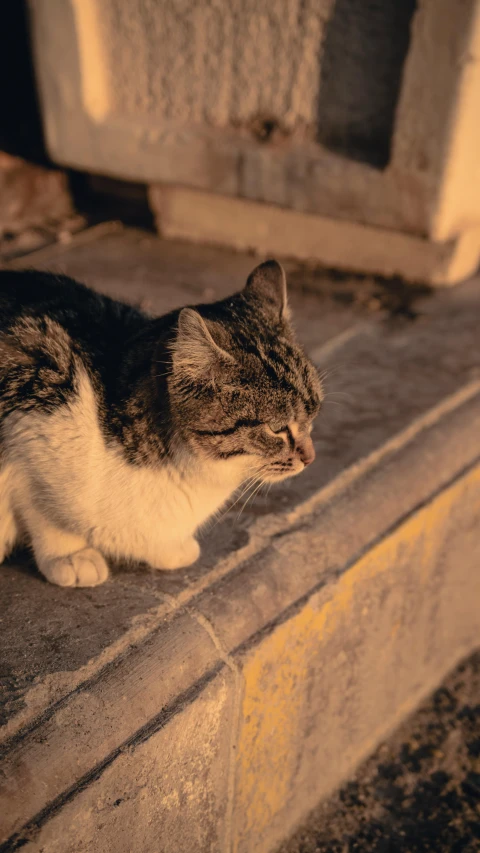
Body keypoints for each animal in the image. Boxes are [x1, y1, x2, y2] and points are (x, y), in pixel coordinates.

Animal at [0, 260, 322, 588]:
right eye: (276, 428)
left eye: (313, 414)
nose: (311, 458)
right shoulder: (33, 422)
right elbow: (46, 513)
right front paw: (71, 554)